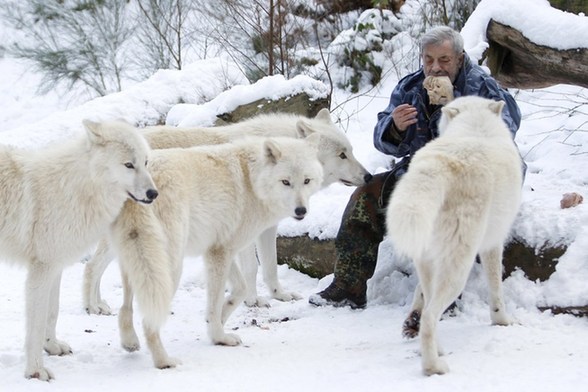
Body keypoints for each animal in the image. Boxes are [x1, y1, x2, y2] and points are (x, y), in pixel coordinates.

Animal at [0, 121, 157, 382]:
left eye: (145, 162)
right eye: (128, 165)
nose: (154, 194)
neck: (77, 188)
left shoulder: (56, 266)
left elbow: (52, 312)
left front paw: (52, 346)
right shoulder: (41, 270)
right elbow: (36, 324)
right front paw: (36, 371)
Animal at [84, 108, 372, 316]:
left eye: (351, 151)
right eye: (342, 155)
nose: (369, 176)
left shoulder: (267, 228)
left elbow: (270, 267)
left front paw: (279, 295)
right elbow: (252, 269)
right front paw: (253, 300)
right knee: (91, 266)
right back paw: (92, 307)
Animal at [108, 133, 324, 370]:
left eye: (307, 180)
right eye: (285, 182)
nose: (301, 211)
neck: (252, 180)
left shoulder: (220, 249)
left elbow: (240, 290)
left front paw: (220, 318)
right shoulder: (220, 253)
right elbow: (216, 301)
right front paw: (219, 336)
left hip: (135, 262)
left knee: (125, 308)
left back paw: (129, 342)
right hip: (169, 269)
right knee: (149, 321)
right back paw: (164, 361)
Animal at [388, 96, 520, 376]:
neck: (476, 127)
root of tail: (438, 167)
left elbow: (419, 293)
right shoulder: (493, 244)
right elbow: (497, 288)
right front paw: (502, 320)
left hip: (430, 260)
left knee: (428, 306)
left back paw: (435, 348)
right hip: (459, 268)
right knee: (430, 316)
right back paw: (433, 366)